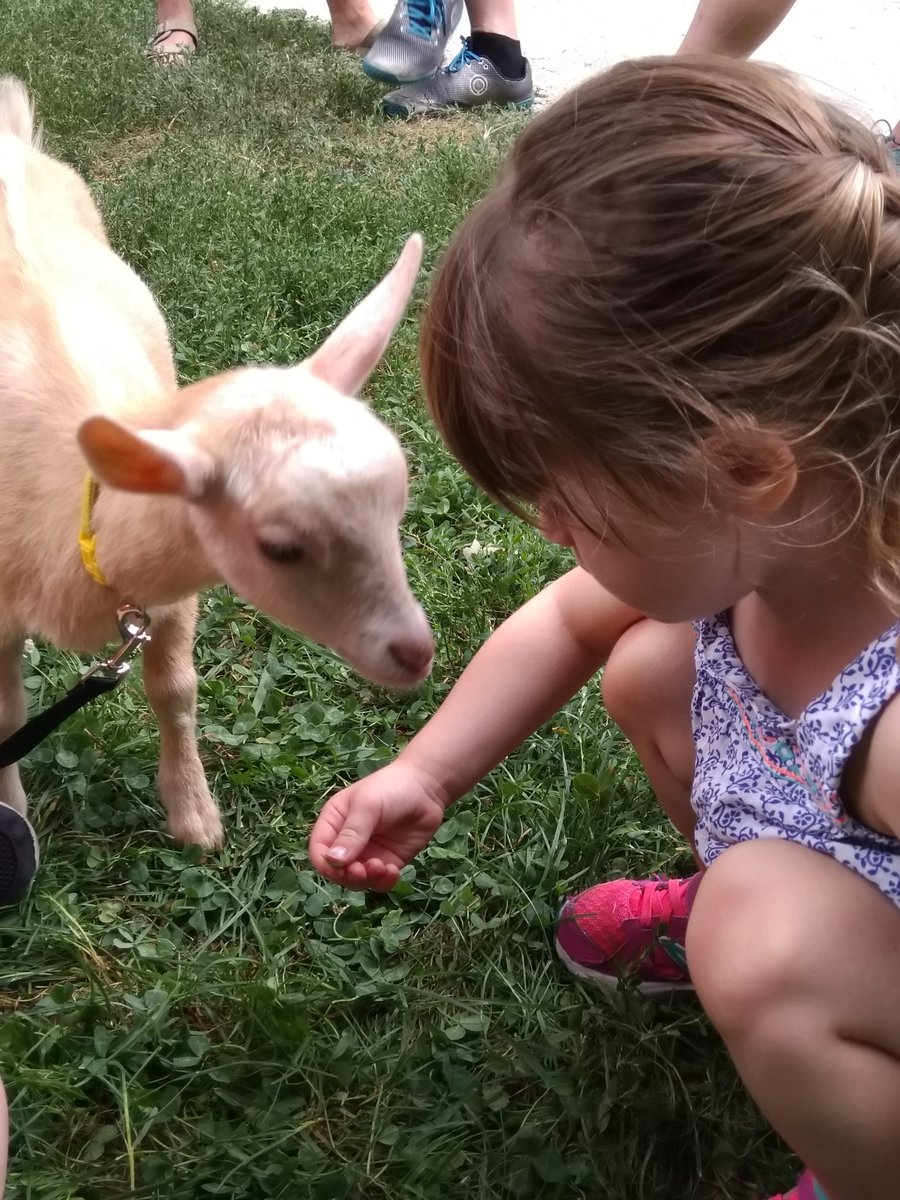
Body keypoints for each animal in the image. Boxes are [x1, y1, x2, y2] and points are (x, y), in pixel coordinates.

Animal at [0, 77, 433, 849]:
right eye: (281, 547)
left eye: (397, 510)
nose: (418, 653)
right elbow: (7, 718)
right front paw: (13, 819)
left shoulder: (170, 598)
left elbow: (176, 691)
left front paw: (194, 814)